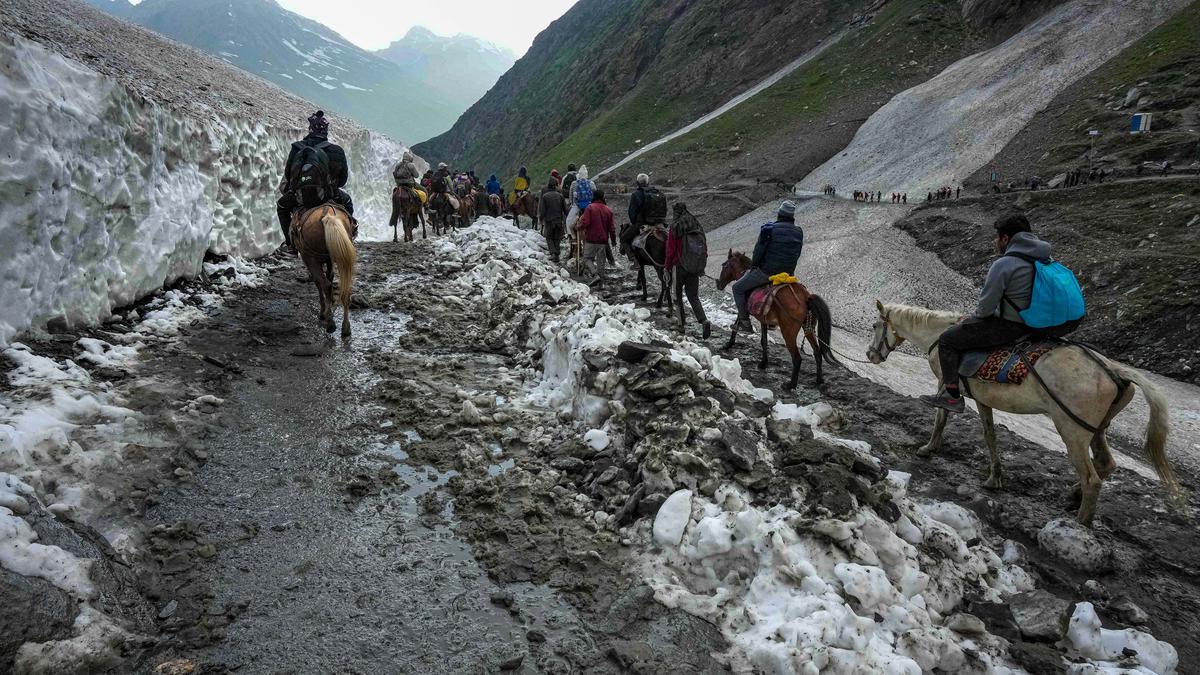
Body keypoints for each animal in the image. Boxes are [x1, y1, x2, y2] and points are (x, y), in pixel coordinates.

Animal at [291, 200, 355, 333]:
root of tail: (328, 215)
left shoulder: (310, 260)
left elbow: (319, 282)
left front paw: (322, 312)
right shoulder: (329, 260)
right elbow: (330, 276)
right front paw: (330, 302)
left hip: (312, 259)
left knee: (325, 284)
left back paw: (330, 323)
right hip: (341, 255)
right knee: (345, 287)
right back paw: (346, 327)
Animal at [710, 249, 835, 386]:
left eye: (724, 265)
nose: (719, 284)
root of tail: (805, 297)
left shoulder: (743, 308)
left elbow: (738, 323)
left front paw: (729, 344)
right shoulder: (763, 320)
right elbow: (763, 340)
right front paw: (763, 363)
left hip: (788, 332)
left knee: (797, 358)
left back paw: (790, 385)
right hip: (809, 328)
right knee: (817, 352)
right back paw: (819, 380)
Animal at [864, 299, 1180, 526]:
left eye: (874, 325)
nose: (870, 355)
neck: (938, 335)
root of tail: (1114, 371)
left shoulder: (945, 382)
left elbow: (941, 417)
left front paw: (928, 448)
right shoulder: (983, 400)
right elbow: (990, 435)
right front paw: (995, 478)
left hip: (1072, 431)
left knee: (1093, 478)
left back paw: (1080, 522)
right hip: (1098, 429)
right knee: (1106, 463)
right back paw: (1072, 494)